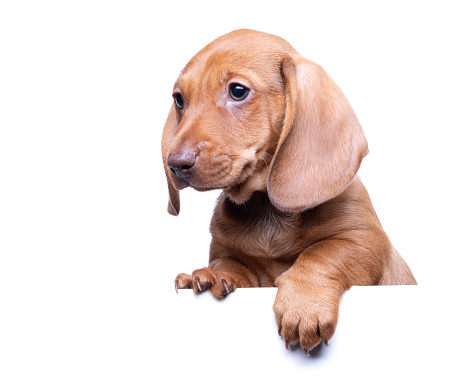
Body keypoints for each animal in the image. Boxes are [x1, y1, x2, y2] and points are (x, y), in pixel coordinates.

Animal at [161, 29, 416, 356]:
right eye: (179, 99)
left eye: (238, 91)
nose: (175, 164)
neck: (267, 211)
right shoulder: (226, 253)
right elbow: (230, 265)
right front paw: (211, 276)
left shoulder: (365, 240)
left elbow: (323, 253)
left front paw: (304, 304)